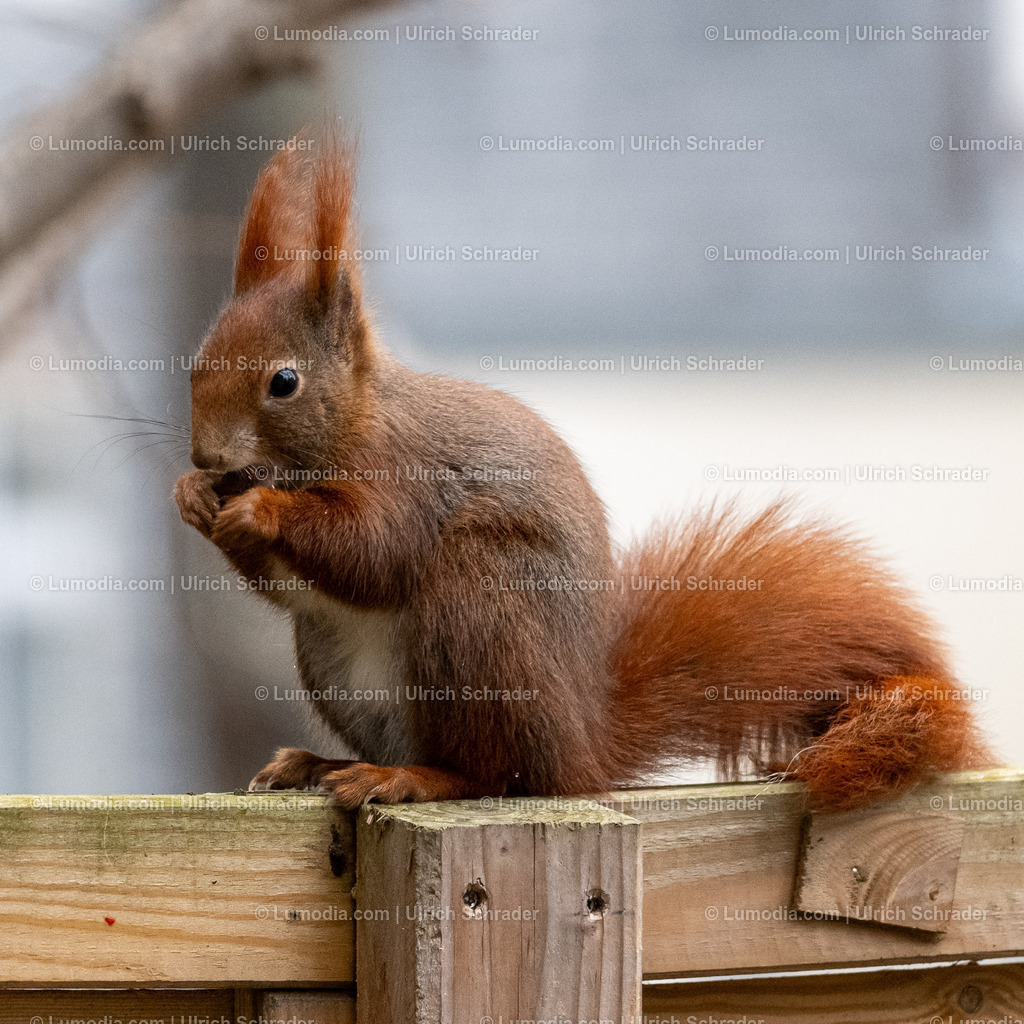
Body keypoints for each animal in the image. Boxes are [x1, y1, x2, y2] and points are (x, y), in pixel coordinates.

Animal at [173, 135, 990, 811]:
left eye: (283, 382)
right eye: (194, 364)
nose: (206, 459)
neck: (356, 424)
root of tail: (581, 745)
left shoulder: (414, 478)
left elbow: (376, 551)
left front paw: (262, 511)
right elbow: (290, 585)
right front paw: (192, 499)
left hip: (484, 603)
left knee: (493, 772)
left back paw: (412, 777)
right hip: (338, 662)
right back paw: (317, 764)